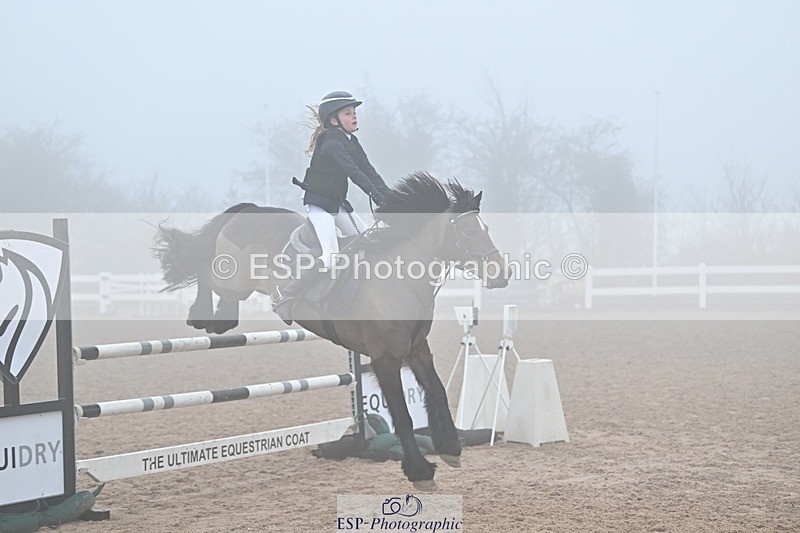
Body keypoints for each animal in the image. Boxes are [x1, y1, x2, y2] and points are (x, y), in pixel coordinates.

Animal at [153, 172, 509, 489]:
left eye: (486, 229)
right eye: (468, 230)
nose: (501, 275)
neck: (401, 278)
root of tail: (251, 209)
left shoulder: (418, 349)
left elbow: (437, 391)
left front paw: (450, 448)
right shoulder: (385, 358)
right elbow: (402, 414)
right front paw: (419, 471)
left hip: (236, 290)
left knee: (224, 313)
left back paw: (214, 319)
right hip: (232, 281)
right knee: (203, 270)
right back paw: (199, 314)